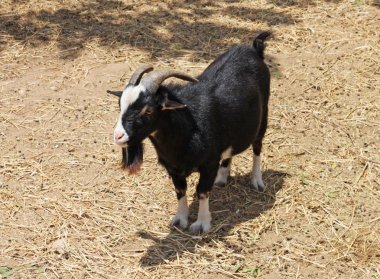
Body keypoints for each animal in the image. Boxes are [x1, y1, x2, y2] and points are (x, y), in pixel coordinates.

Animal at [108, 32, 272, 234]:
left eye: (148, 111)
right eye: (120, 105)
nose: (118, 136)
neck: (187, 131)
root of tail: (253, 48)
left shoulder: (209, 163)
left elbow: (202, 191)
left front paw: (202, 224)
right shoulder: (173, 168)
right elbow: (180, 191)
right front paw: (180, 219)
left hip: (263, 118)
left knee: (257, 148)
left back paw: (256, 181)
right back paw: (222, 177)